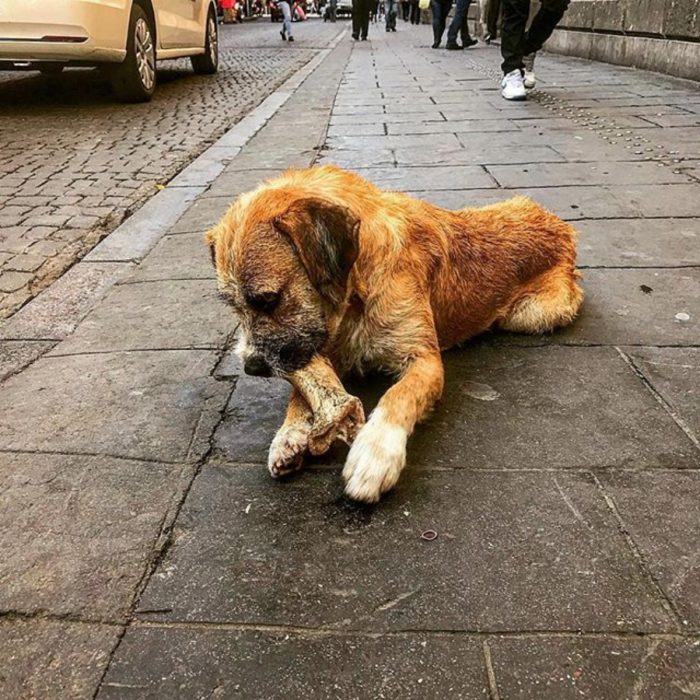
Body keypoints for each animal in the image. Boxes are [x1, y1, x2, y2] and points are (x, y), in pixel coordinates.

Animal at [208, 164, 584, 504]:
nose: (252, 367)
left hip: (532, 314)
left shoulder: (425, 360)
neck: (357, 293)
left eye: (268, 299)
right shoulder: (322, 352)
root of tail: (559, 223)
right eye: (232, 306)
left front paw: (375, 453)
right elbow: (303, 390)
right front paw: (290, 433)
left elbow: (399, 395)